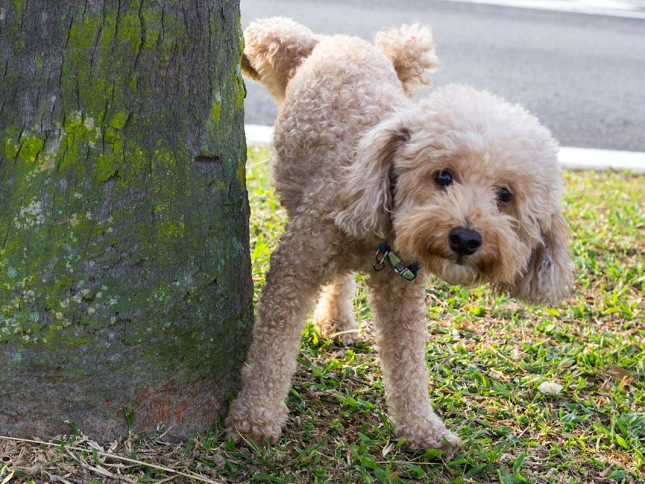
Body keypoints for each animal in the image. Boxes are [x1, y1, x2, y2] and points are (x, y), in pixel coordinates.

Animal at [225, 16, 568, 454]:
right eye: (443, 176)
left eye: (505, 195)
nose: (465, 239)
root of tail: (346, 42)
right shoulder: (295, 265)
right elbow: (272, 348)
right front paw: (256, 417)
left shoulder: (402, 290)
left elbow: (408, 363)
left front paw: (422, 428)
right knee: (270, 31)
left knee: (341, 281)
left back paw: (338, 323)